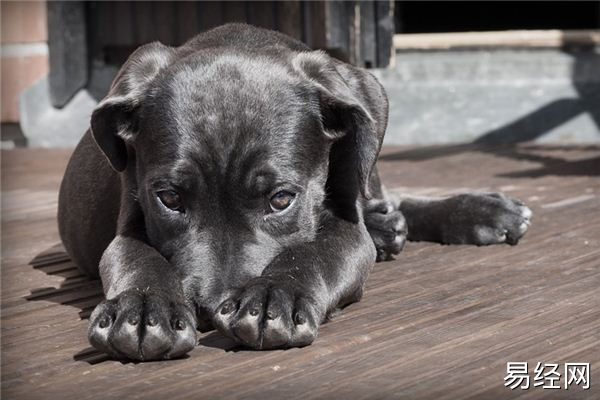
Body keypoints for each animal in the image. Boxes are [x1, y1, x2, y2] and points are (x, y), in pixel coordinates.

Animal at [58, 22, 532, 360]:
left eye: (281, 199)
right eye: (169, 199)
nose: (210, 309)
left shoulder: (346, 227)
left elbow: (315, 252)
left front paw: (274, 296)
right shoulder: (130, 219)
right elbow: (135, 257)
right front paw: (142, 308)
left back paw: (479, 212)